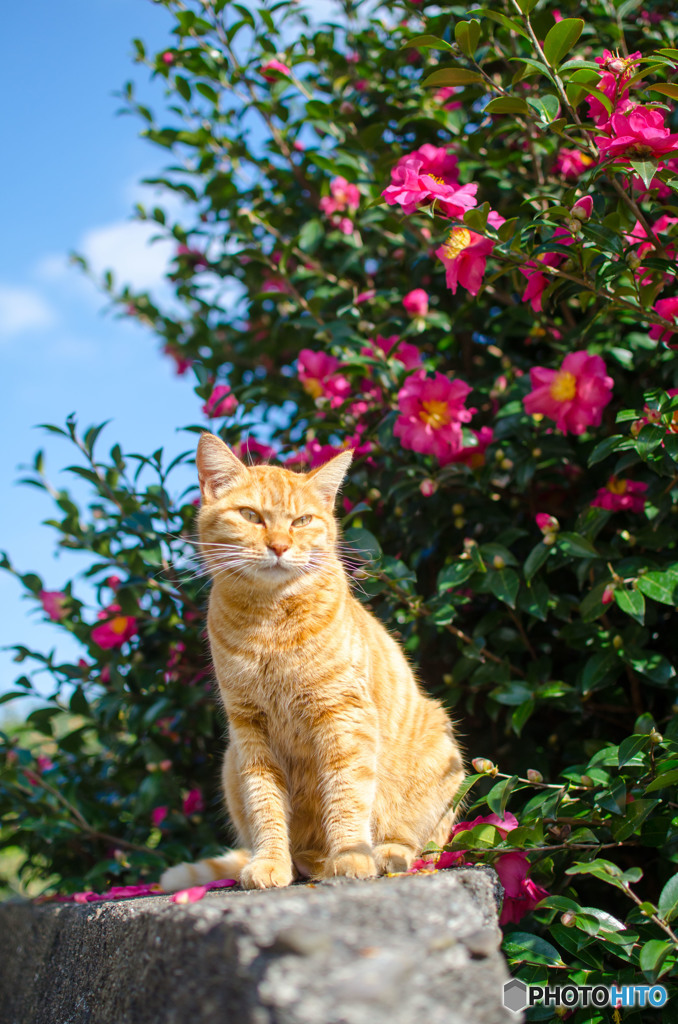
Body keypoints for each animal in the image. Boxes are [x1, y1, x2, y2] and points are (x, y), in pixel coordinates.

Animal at [161, 432, 464, 888]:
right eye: (250, 516)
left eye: (302, 521)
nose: (280, 546)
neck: (269, 622)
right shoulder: (249, 730)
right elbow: (265, 803)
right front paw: (271, 861)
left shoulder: (344, 717)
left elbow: (346, 793)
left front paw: (352, 857)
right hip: (231, 762)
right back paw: (305, 861)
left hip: (442, 755)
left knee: (419, 844)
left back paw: (383, 855)